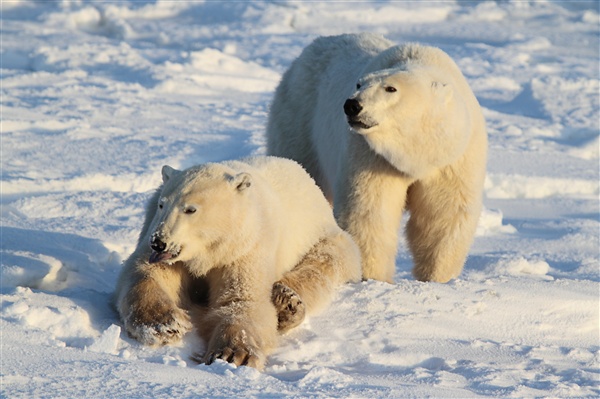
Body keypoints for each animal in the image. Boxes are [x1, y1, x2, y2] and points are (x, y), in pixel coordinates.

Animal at [116, 157, 360, 372]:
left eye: (190, 209)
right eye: (162, 204)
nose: (159, 242)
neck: (211, 250)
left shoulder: (246, 246)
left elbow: (242, 300)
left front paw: (232, 354)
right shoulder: (163, 241)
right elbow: (146, 273)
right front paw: (165, 324)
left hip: (323, 237)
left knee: (322, 264)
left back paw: (285, 303)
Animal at [268, 33, 488, 284]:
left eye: (391, 88)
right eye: (359, 83)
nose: (352, 105)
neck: (418, 156)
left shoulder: (452, 162)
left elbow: (443, 215)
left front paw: (436, 277)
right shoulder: (371, 154)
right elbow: (369, 212)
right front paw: (373, 278)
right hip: (300, 121)